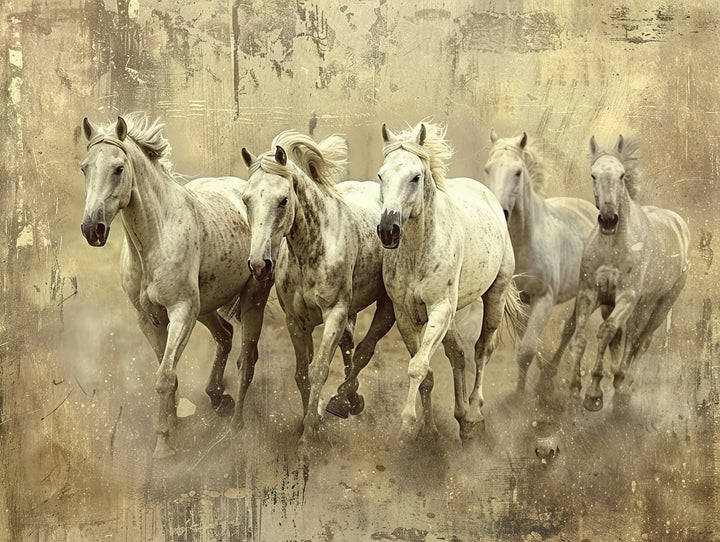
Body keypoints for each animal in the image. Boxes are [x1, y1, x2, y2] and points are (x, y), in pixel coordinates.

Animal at [80, 113, 272, 458]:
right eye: (84, 168)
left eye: (118, 168)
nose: (92, 229)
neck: (155, 237)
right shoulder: (150, 319)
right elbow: (170, 375)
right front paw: (172, 428)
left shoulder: (181, 312)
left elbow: (165, 377)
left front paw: (163, 447)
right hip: (205, 306)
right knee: (225, 336)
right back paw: (217, 397)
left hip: (251, 298)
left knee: (247, 358)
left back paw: (236, 425)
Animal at [240, 131, 395, 443]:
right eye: (246, 200)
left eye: (283, 200)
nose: (260, 264)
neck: (311, 250)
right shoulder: (296, 322)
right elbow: (302, 374)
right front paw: (309, 422)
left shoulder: (334, 312)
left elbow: (319, 370)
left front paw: (309, 434)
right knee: (349, 346)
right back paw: (349, 400)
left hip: (384, 308)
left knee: (365, 350)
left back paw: (343, 401)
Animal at [376, 122, 524, 441]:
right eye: (381, 175)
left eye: (416, 177)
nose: (388, 230)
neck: (418, 252)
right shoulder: (405, 315)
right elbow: (426, 372)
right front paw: (428, 429)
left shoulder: (440, 309)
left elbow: (418, 367)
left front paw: (407, 422)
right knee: (457, 354)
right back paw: (461, 418)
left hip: (494, 295)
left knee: (481, 351)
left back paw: (474, 414)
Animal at [483, 130, 597, 395]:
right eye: (487, 169)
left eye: (517, 172)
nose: (499, 212)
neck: (526, 242)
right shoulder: (519, 300)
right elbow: (527, 347)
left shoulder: (543, 300)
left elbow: (526, 351)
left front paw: (521, 395)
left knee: (572, 330)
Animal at [558, 135, 689, 411]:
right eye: (593, 174)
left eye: (621, 175)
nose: (608, 219)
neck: (613, 246)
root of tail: (678, 224)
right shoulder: (590, 294)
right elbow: (581, 338)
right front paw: (575, 388)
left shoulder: (627, 298)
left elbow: (605, 333)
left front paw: (594, 394)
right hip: (636, 304)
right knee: (628, 337)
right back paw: (618, 378)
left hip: (661, 304)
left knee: (642, 339)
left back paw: (624, 385)